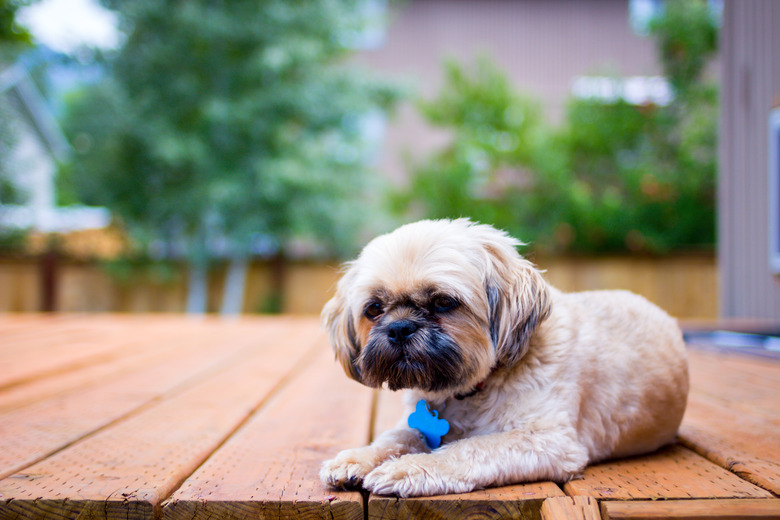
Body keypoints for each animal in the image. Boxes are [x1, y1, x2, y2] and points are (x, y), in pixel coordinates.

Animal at [316, 217, 688, 498]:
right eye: (374, 309)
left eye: (443, 302)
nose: (399, 328)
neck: (471, 388)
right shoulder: (416, 424)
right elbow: (395, 436)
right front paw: (359, 457)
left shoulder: (548, 441)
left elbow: (469, 448)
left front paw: (409, 468)